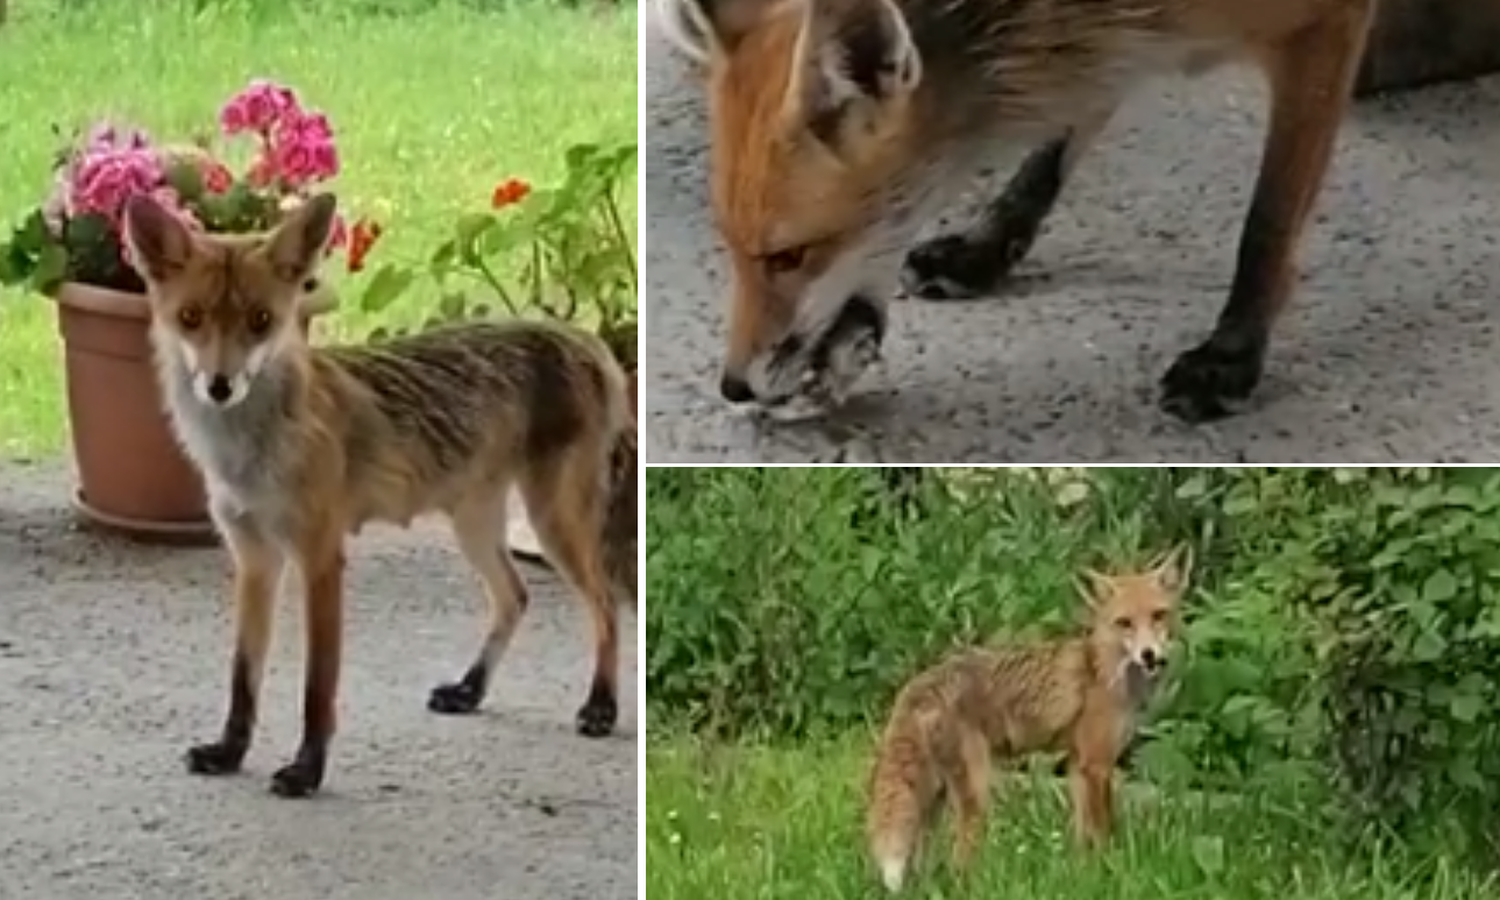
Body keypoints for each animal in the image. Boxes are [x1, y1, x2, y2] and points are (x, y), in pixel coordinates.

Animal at [123, 193, 639, 798]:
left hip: (552, 522)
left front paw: (307, 770)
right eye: (191, 318)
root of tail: (588, 340)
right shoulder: (255, 558)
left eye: (260, 321)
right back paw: (471, 689)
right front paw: (230, 751)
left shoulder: (320, 557)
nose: (220, 386)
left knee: (605, 603)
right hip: (474, 525)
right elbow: (242, 675)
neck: (248, 454)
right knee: (515, 596)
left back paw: (601, 706)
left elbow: (316, 687)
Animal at [657, 0, 1380, 423]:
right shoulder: (1110, 47)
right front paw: (986, 246)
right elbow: (1053, 149)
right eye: (731, 249)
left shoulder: (1322, 28)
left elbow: (1266, 228)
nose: (733, 387)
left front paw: (1231, 356)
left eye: (790, 256)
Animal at [864, 546, 1188, 888]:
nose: (1149, 655)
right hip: (976, 795)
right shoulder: (1097, 764)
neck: (1104, 671)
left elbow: (1081, 835)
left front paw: (1083, 875)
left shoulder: (1077, 765)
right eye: (1124, 622)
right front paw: (1109, 872)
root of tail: (917, 684)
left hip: (933, 799)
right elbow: (1102, 833)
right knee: (959, 863)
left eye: (1159, 615)